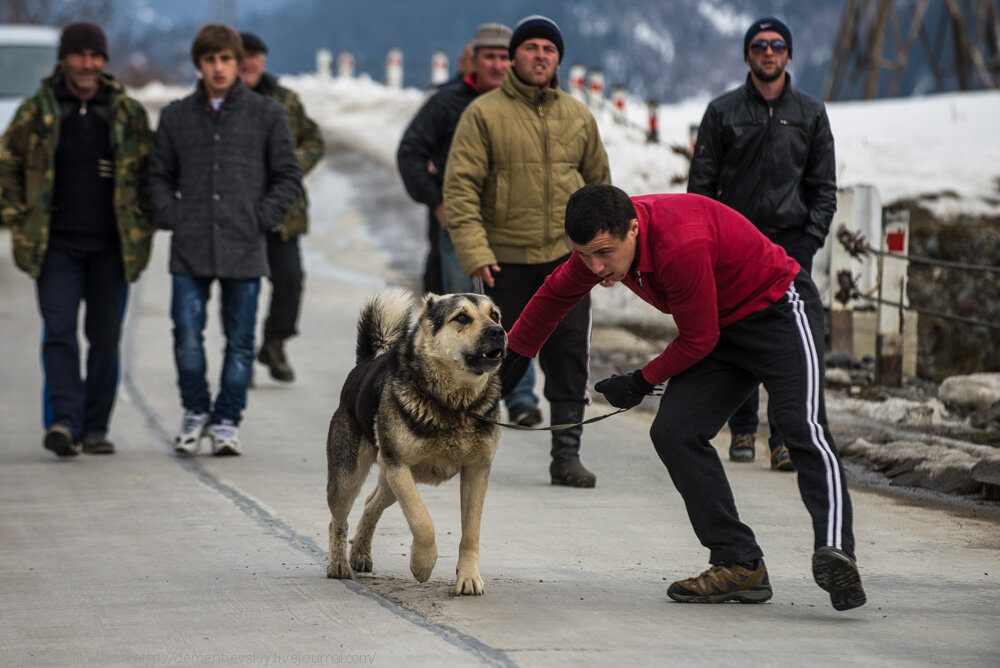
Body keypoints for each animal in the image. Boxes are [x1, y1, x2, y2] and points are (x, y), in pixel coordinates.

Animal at [326, 290, 504, 592]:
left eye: (495, 315)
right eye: (461, 318)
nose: (499, 332)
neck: (453, 403)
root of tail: (366, 362)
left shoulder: (477, 470)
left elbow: (471, 531)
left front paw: (468, 577)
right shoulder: (398, 465)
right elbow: (422, 520)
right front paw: (422, 564)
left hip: (390, 479)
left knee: (371, 503)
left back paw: (360, 553)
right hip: (349, 478)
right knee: (338, 519)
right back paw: (339, 564)